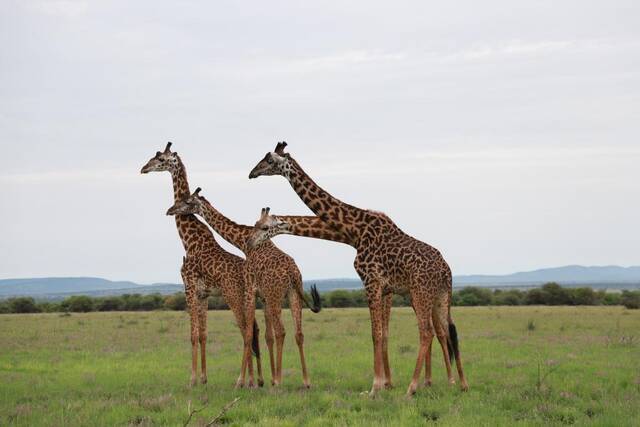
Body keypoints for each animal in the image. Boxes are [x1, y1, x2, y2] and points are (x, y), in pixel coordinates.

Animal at [141, 143, 262, 388]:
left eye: (160, 159)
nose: (143, 168)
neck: (189, 240)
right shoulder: (204, 293)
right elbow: (204, 334)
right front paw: (204, 378)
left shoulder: (188, 286)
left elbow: (193, 334)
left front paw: (192, 379)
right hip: (249, 298)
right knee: (252, 330)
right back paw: (252, 381)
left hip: (233, 294)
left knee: (246, 331)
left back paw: (241, 381)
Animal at [165, 189, 330, 390]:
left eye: (188, 201)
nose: (170, 210)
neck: (242, 240)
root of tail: (293, 273)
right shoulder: (261, 296)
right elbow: (264, 335)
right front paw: (264, 379)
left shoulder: (250, 289)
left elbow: (249, 333)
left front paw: (242, 381)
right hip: (293, 294)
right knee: (298, 333)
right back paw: (305, 381)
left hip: (273, 296)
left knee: (280, 331)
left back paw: (279, 381)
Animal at [248, 144, 468, 398]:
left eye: (268, 160)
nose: (252, 173)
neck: (354, 230)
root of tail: (445, 270)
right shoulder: (384, 288)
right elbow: (382, 333)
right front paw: (383, 384)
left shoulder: (371, 282)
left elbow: (376, 334)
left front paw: (375, 388)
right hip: (442, 296)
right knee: (449, 330)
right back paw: (460, 384)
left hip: (421, 293)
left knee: (427, 332)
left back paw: (413, 387)